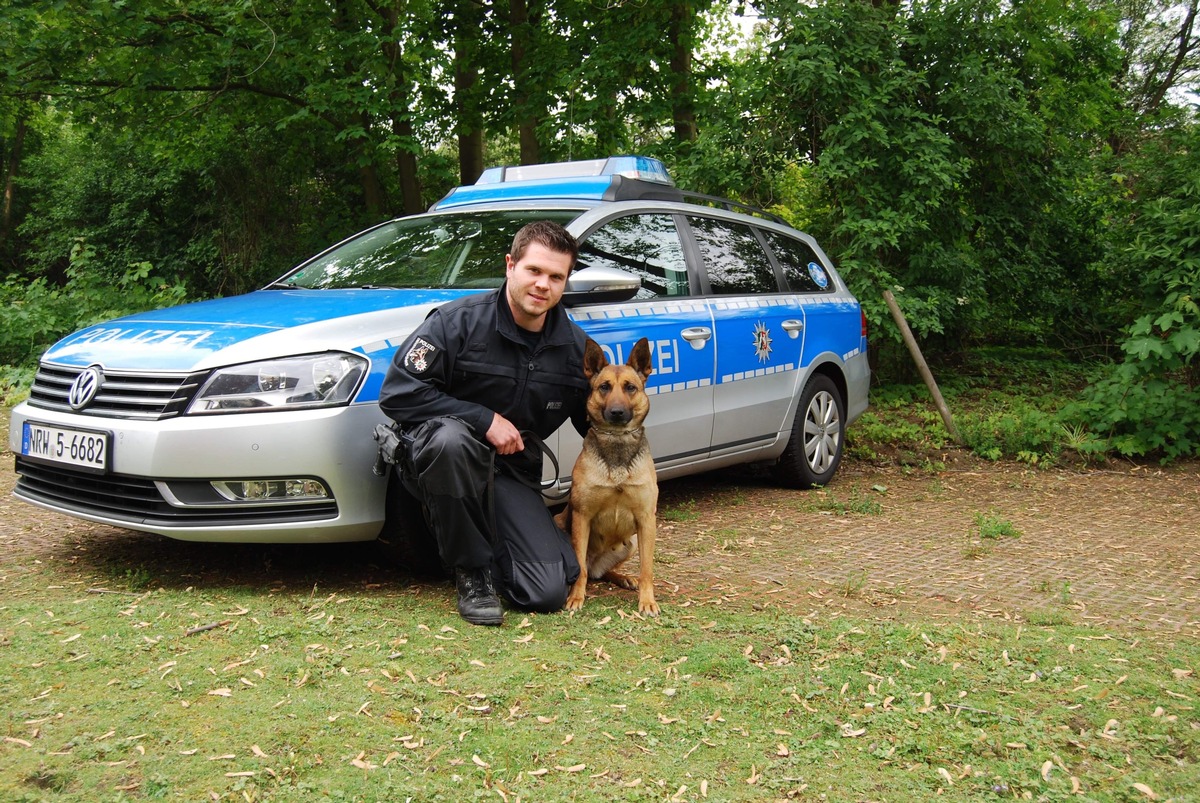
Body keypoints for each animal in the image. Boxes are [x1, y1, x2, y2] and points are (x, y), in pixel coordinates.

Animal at [556, 336, 662, 614]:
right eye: (604, 387)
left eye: (630, 388)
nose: (616, 412)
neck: (617, 444)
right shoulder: (581, 517)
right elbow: (579, 569)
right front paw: (575, 598)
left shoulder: (647, 520)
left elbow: (647, 570)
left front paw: (648, 601)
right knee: (589, 570)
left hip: (632, 543)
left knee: (603, 572)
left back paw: (624, 578)